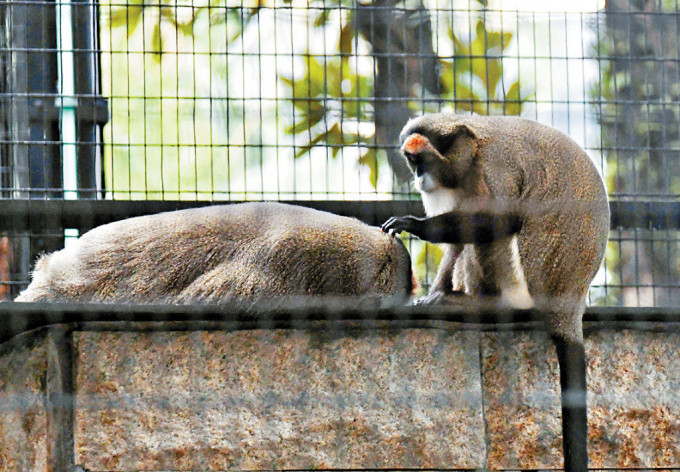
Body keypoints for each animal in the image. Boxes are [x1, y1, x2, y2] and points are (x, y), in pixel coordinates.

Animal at [382, 113, 612, 472]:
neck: (473, 150)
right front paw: (431, 294)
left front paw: (414, 225)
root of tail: (569, 306)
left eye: (423, 161)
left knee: (497, 234)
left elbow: (502, 218)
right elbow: (457, 243)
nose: (419, 177)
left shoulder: (496, 167)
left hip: (520, 282)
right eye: (411, 162)